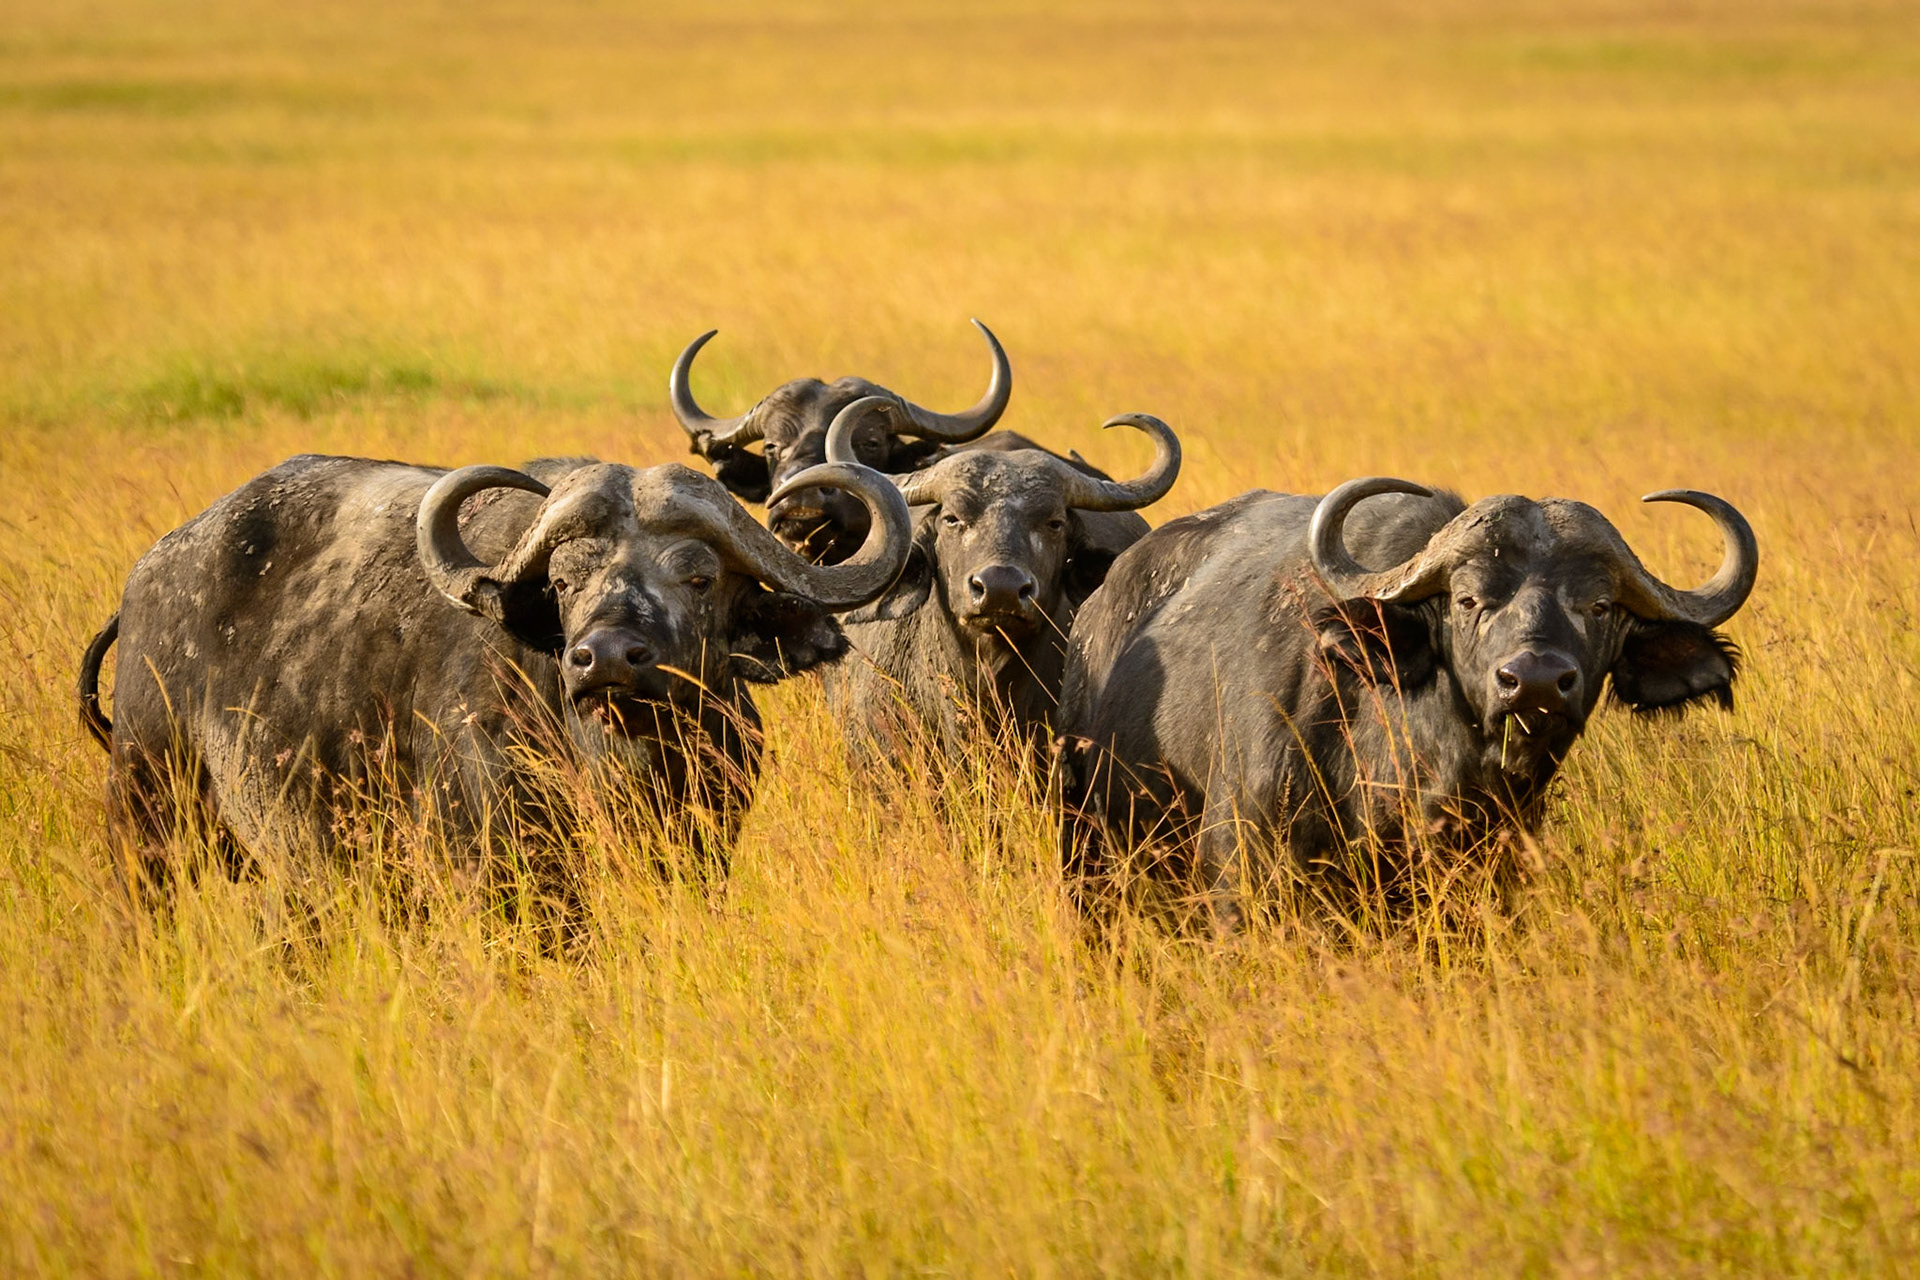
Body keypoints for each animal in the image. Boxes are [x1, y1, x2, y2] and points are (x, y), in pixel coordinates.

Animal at [78, 453, 910, 887]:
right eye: (566, 581)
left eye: (699, 577)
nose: (605, 657)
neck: (627, 762)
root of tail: (153, 572)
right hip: (147, 812)